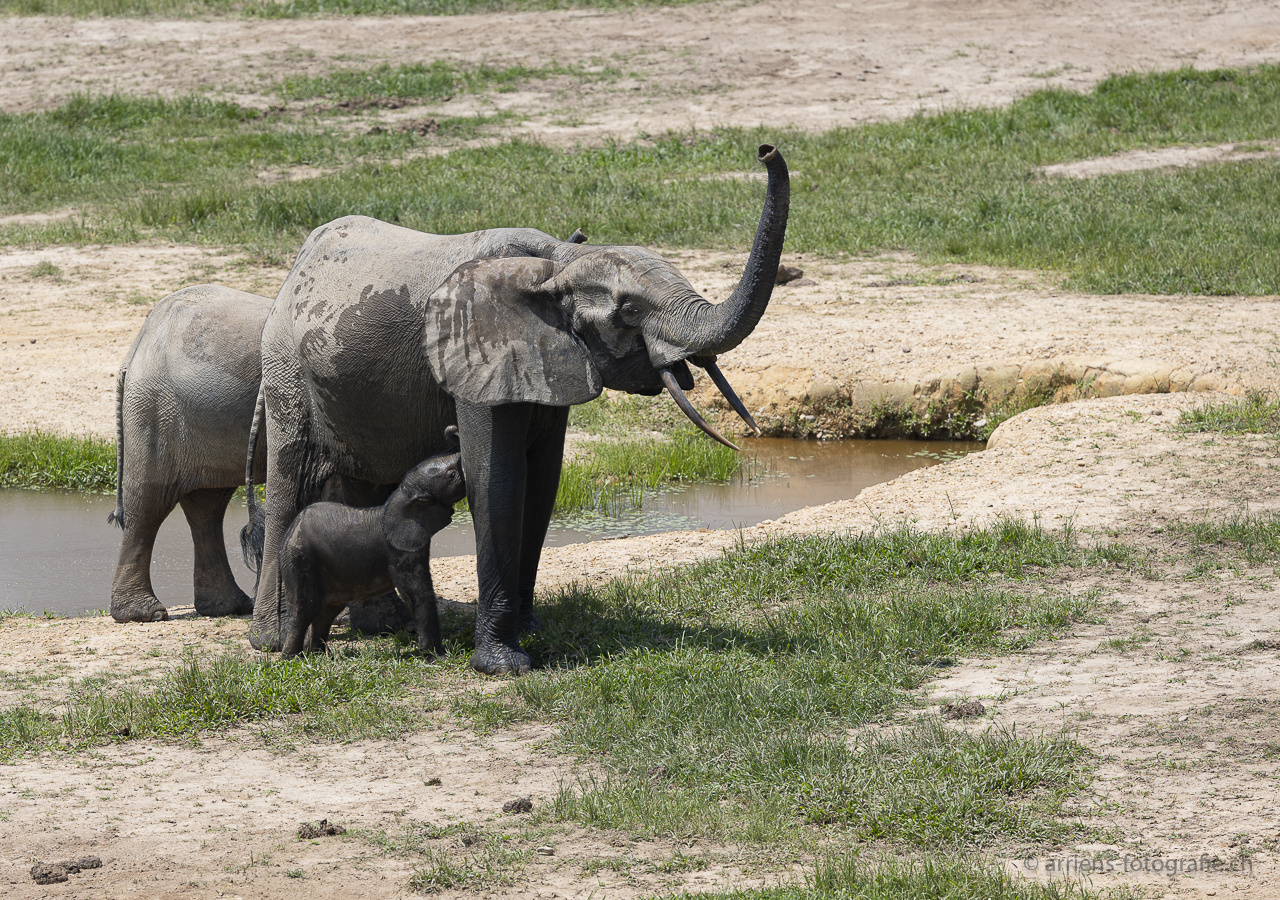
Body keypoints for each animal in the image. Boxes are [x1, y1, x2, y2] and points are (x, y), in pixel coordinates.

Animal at [277, 440, 468, 660]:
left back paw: (320, 655)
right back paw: (292, 658)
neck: (401, 496)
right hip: (300, 558)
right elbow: (416, 593)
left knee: (327, 611)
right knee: (304, 609)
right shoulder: (399, 549)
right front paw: (437, 656)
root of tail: (291, 530)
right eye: (451, 475)